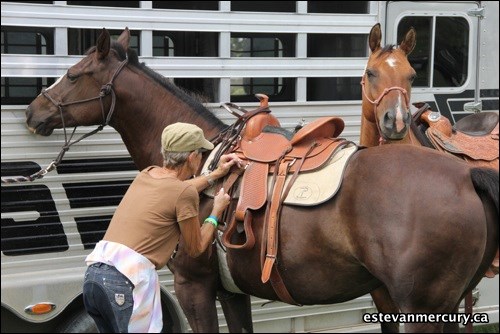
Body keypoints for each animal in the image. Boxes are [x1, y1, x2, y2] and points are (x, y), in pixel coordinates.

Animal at [25, 28, 498, 332]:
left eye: (73, 74)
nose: (33, 111)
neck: (203, 161)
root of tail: (467, 175)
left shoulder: (194, 287)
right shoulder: (233, 292)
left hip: (421, 308)